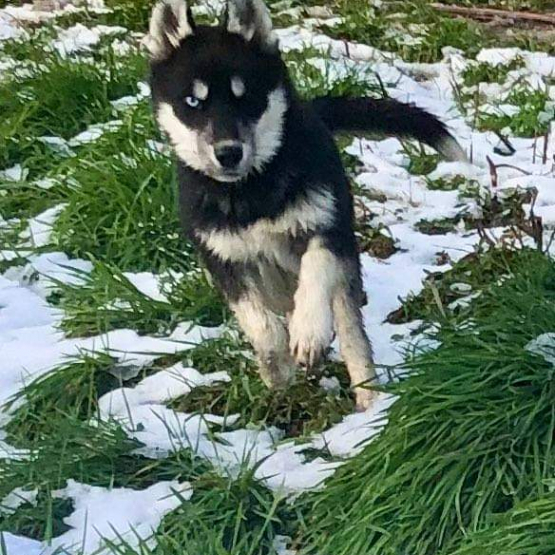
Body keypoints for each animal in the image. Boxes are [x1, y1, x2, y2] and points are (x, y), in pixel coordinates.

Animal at [144, 0, 464, 408]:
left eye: (245, 97)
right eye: (192, 102)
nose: (228, 154)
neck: (252, 192)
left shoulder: (326, 226)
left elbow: (316, 273)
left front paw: (309, 334)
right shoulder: (222, 258)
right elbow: (258, 322)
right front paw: (276, 366)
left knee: (351, 331)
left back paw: (369, 400)